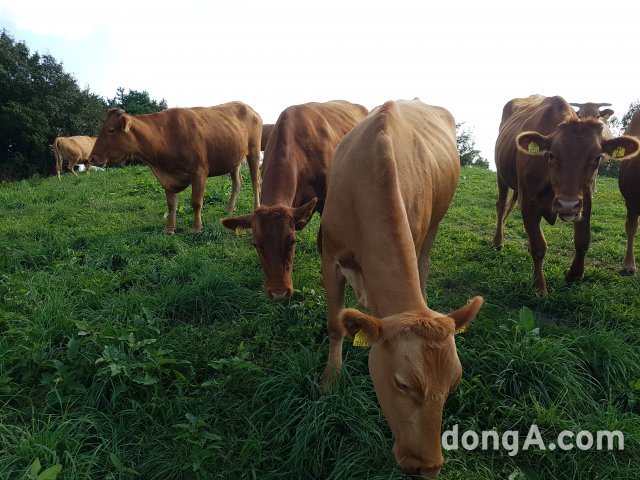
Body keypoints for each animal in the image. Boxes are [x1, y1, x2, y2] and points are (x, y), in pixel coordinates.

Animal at [89, 102, 262, 233]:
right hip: (234, 159)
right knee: (237, 183)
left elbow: (196, 202)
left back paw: (256, 208)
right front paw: (169, 229)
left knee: (255, 182)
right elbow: (171, 204)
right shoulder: (168, 176)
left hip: (253, 151)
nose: (91, 158)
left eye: (111, 130)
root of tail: (248, 107)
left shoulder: (199, 171)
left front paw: (196, 227)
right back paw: (229, 209)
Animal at [320, 99, 480, 478]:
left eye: (454, 384)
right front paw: (331, 380)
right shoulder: (330, 255)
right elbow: (335, 324)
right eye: (402, 383)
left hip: (435, 223)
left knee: (423, 263)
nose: (428, 466)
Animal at [492, 94, 636, 292]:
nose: (567, 205)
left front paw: (575, 274)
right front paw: (539, 286)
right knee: (501, 206)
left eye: (597, 158)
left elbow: (583, 241)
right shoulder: (527, 201)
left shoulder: (585, 200)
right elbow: (539, 246)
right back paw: (498, 241)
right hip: (502, 175)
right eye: (551, 155)